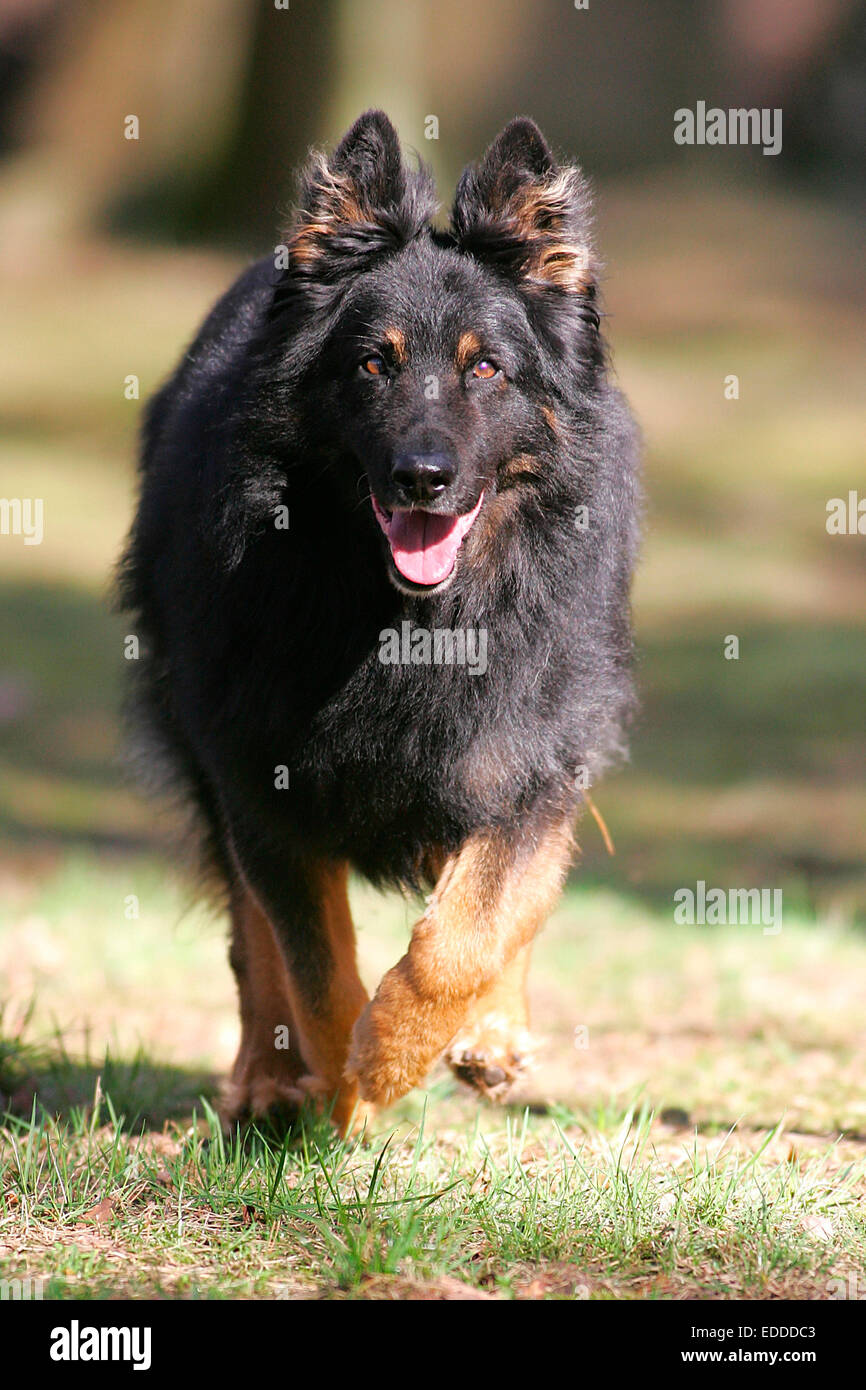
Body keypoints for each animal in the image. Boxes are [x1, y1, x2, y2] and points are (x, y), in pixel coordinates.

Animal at [118, 108, 639, 1128]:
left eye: (488, 369)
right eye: (371, 363)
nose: (423, 479)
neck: (406, 622)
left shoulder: (529, 759)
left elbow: (468, 933)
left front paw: (398, 1056)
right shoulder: (258, 778)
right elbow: (312, 965)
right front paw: (349, 1089)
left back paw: (491, 1033)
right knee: (253, 942)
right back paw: (269, 1076)